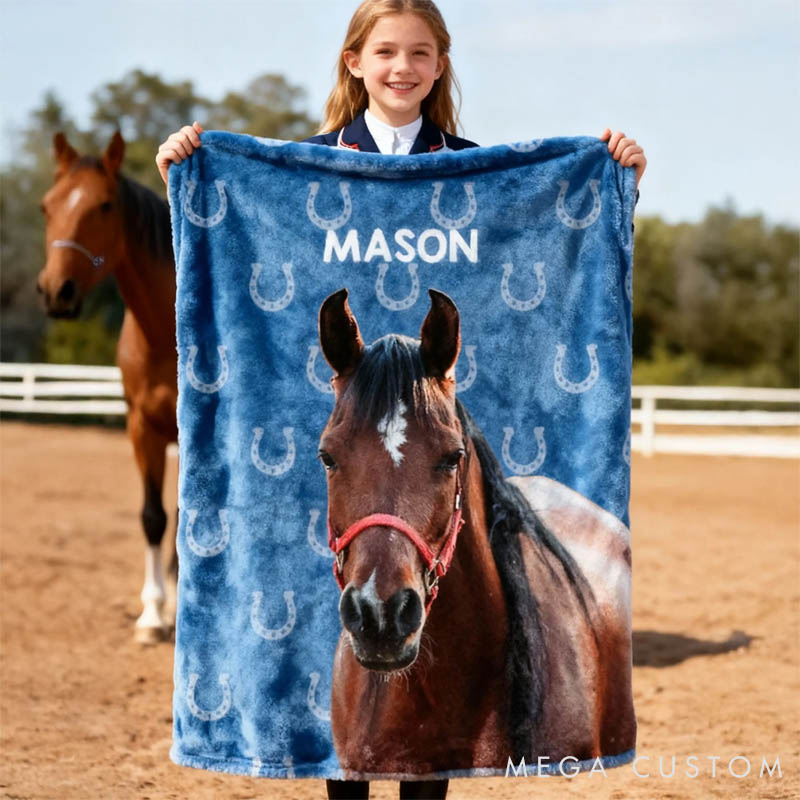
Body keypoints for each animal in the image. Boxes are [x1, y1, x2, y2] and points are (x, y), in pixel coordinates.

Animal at [36, 131, 178, 644]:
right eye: (46, 206)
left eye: (103, 206)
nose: (56, 291)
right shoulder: (142, 427)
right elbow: (154, 518)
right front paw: (153, 615)